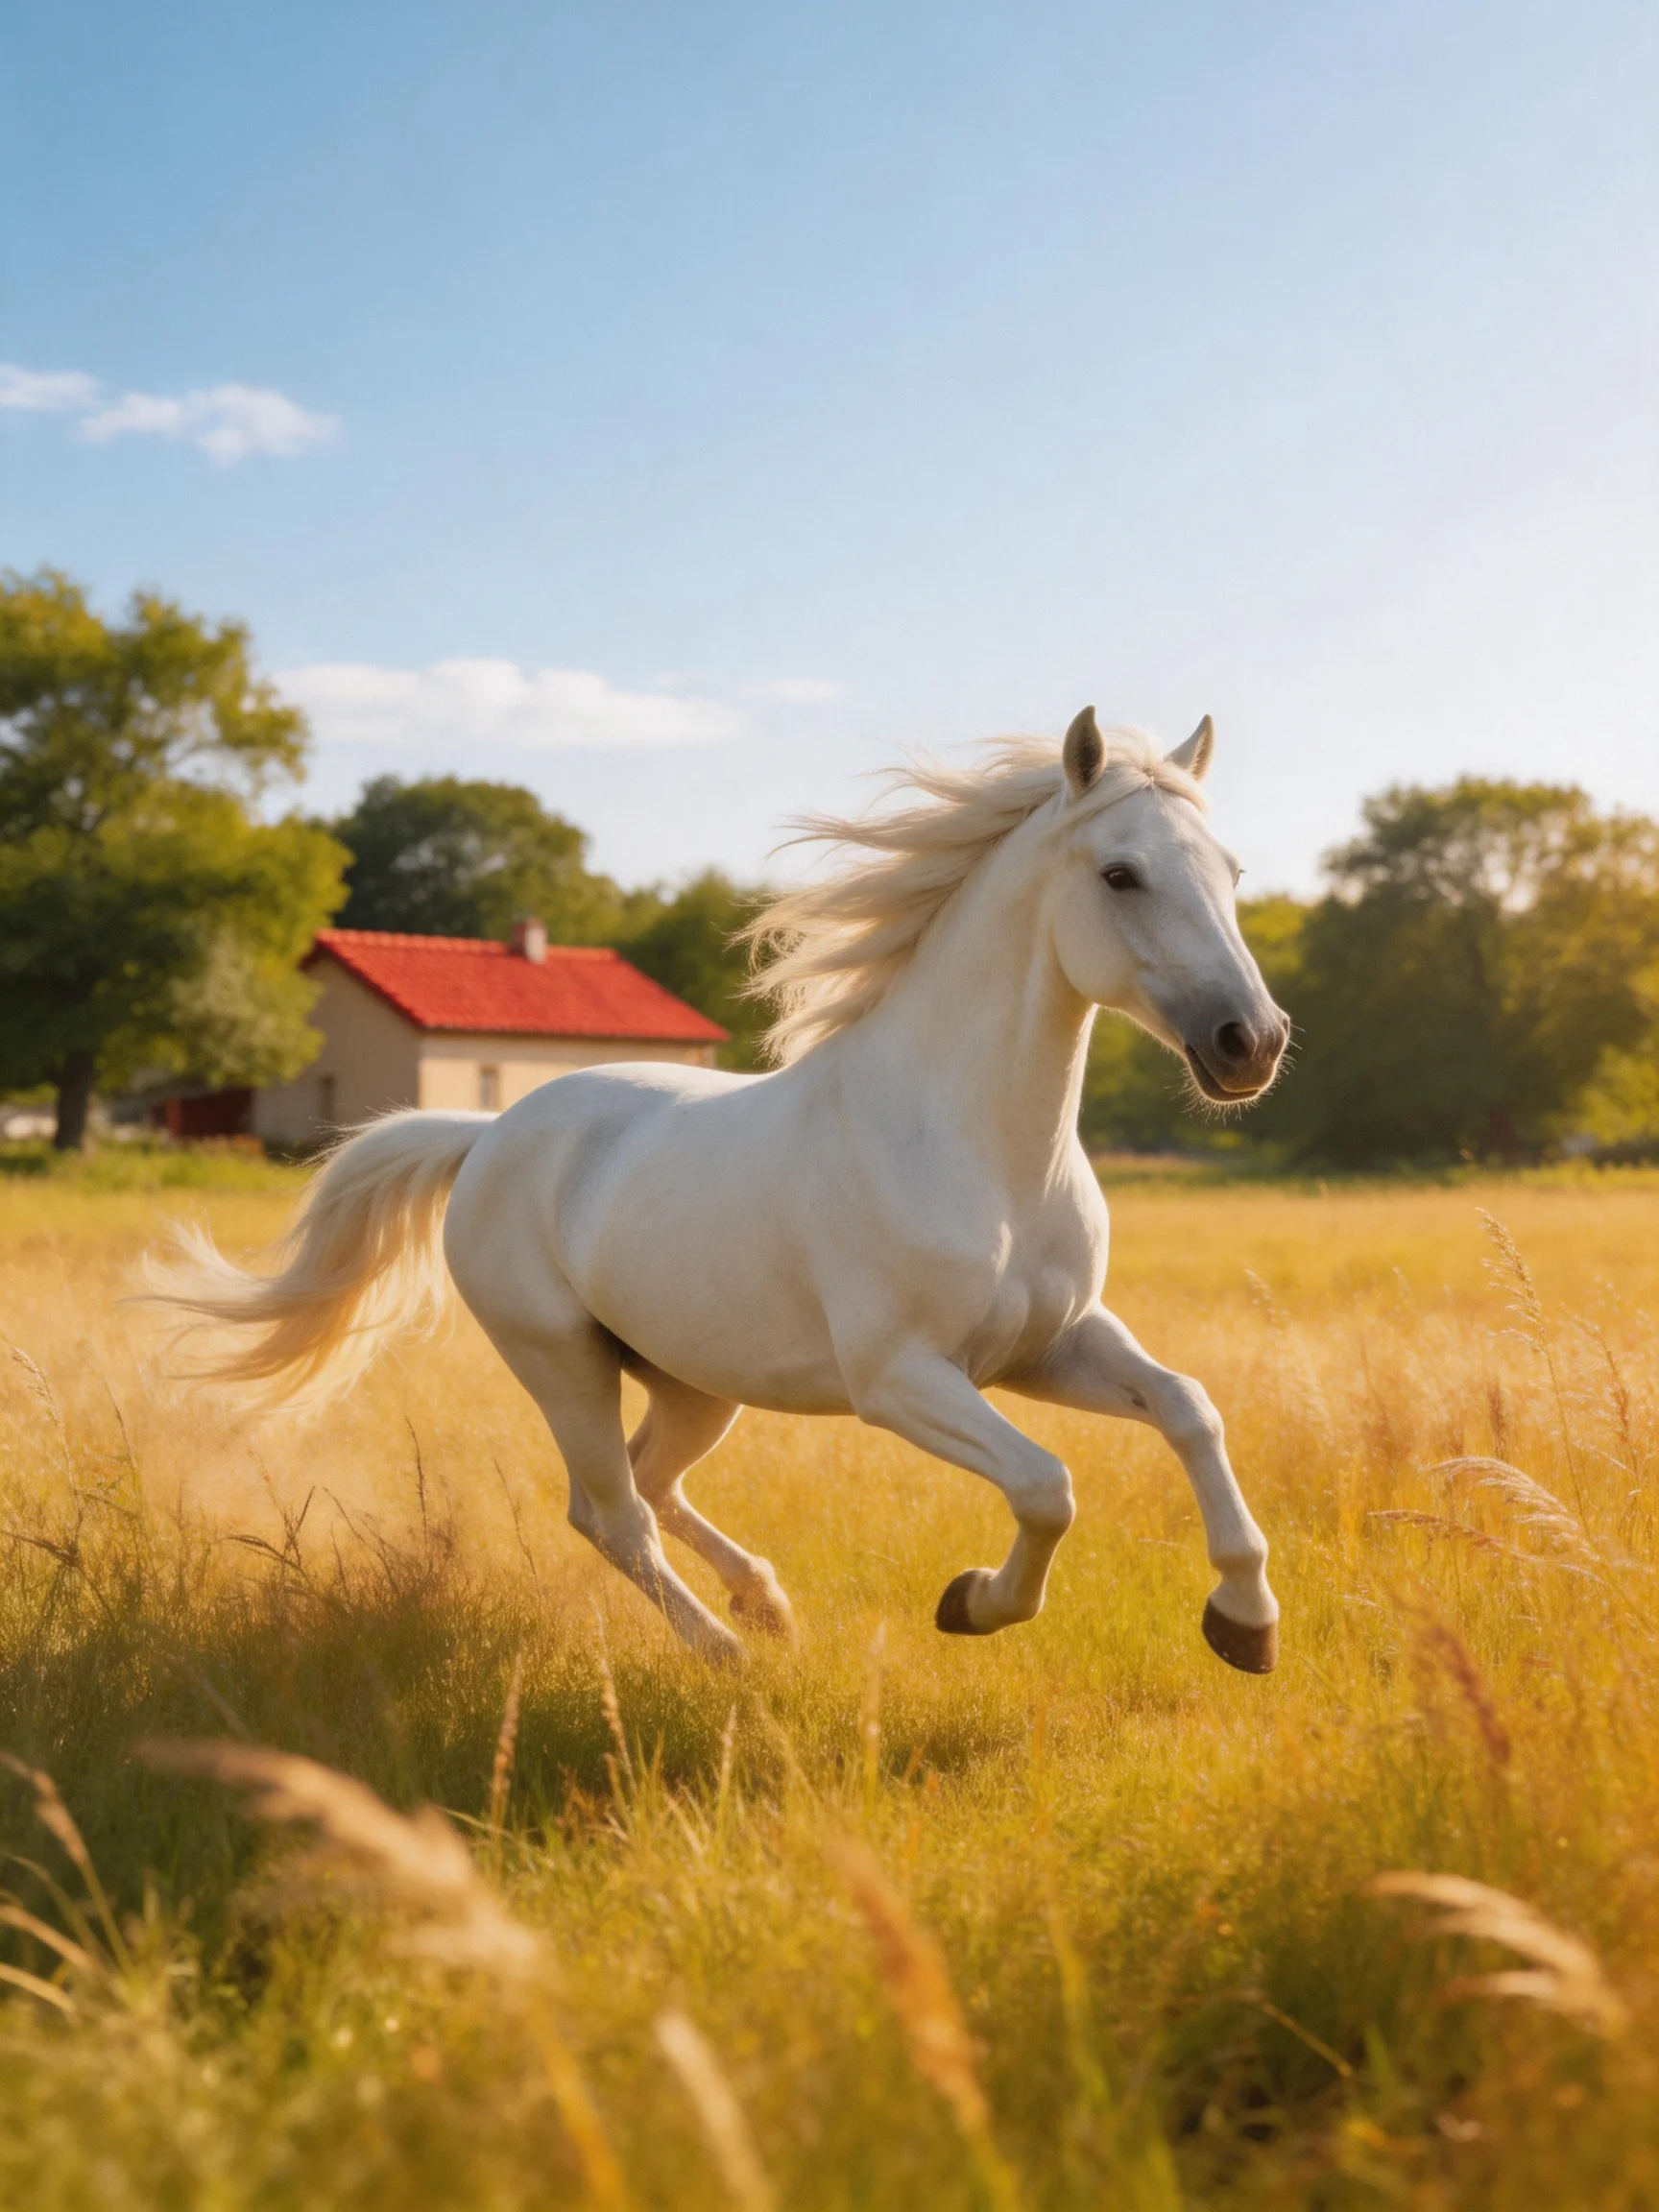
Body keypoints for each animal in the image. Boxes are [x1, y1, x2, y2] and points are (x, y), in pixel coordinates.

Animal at [157, 708, 1290, 1672]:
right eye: (1120, 873)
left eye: (1233, 872)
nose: (1252, 1042)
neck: (976, 1153)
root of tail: (486, 1137)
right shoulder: (902, 1380)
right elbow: (1047, 1487)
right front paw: (972, 1603)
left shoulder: (1049, 1346)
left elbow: (1190, 1411)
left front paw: (1245, 1622)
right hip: (561, 1362)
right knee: (614, 1513)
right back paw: (728, 1654)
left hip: (693, 1379)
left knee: (648, 1483)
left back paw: (766, 1603)